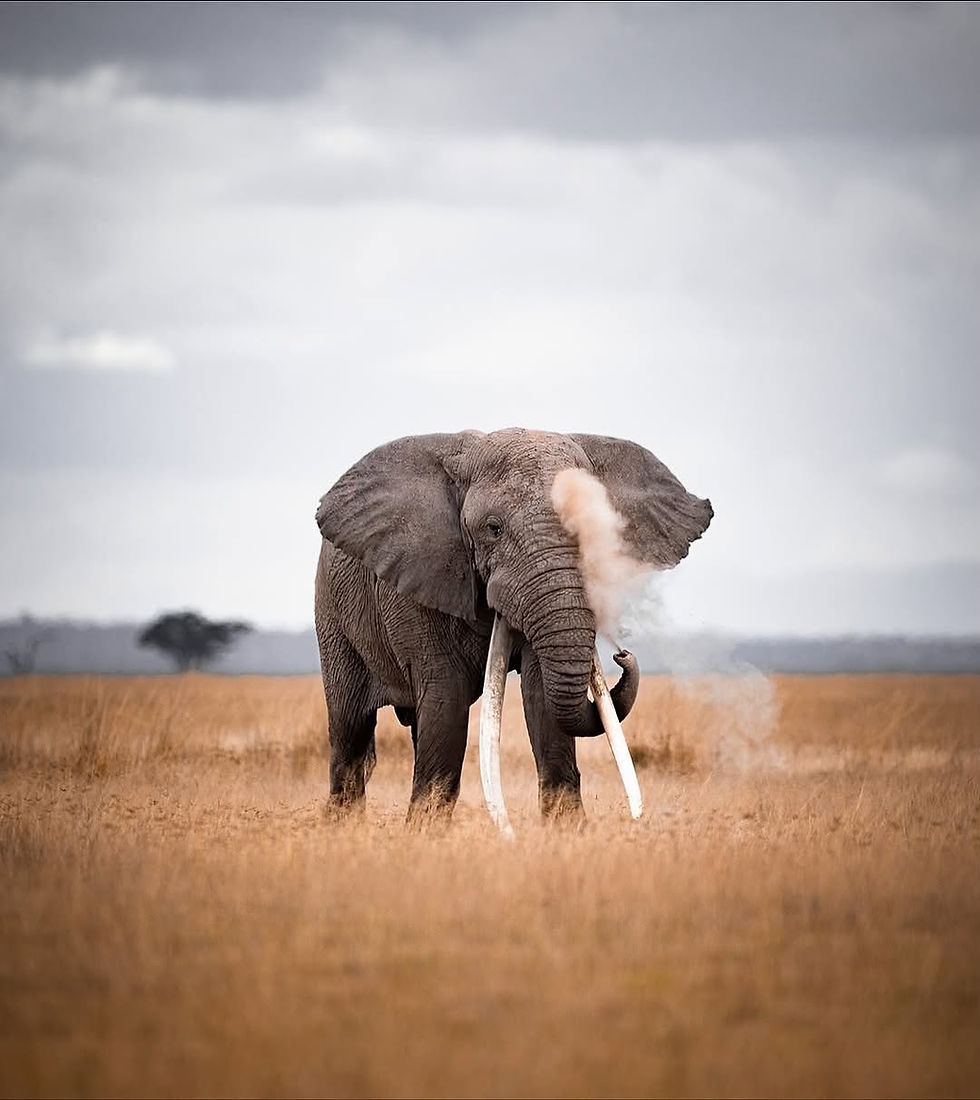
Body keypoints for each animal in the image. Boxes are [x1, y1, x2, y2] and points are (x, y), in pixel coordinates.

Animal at [314, 428, 711, 823]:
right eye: (493, 529)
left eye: (595, 531)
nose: (622, 654)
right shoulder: (418, 579)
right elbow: (446, 701)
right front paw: (426, 832)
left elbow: (542, 701)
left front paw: (567, 830)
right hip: (331, 613)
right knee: (350, 728)